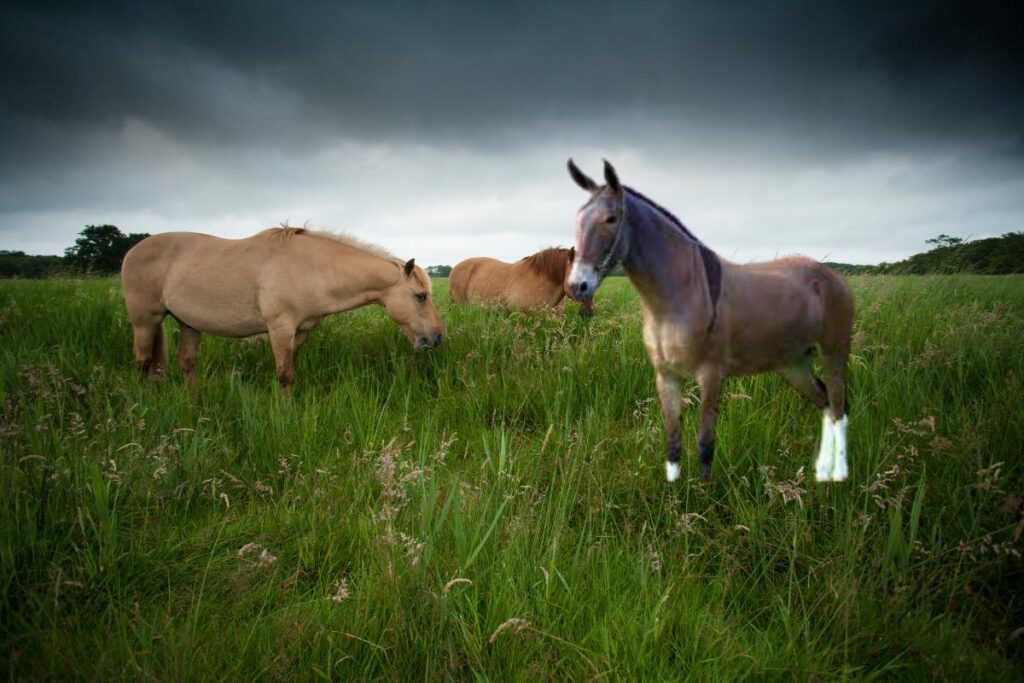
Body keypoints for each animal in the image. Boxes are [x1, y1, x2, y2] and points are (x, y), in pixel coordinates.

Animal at [120, 227, 444, 393]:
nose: (437, 338)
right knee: (142, 362)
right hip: (144, 321)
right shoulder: (280, 328)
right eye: (420, 296)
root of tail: (133, 250)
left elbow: (290, 371)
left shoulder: (299, 332)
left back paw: (193, 401)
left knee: (185, 362)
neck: (312, 268)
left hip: (187, 323)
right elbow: (284, 374)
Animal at [565, 160, 851, 483]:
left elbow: (705, 444)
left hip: (834, 354)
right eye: (578, 218)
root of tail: (832, 277)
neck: (680, 296)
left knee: (838, 407)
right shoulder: (666, 376)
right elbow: (673, 441)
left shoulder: (711, 376)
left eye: (611, 218)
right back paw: (823, 471)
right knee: (826, 404)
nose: (577, 286)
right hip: (795, 364)